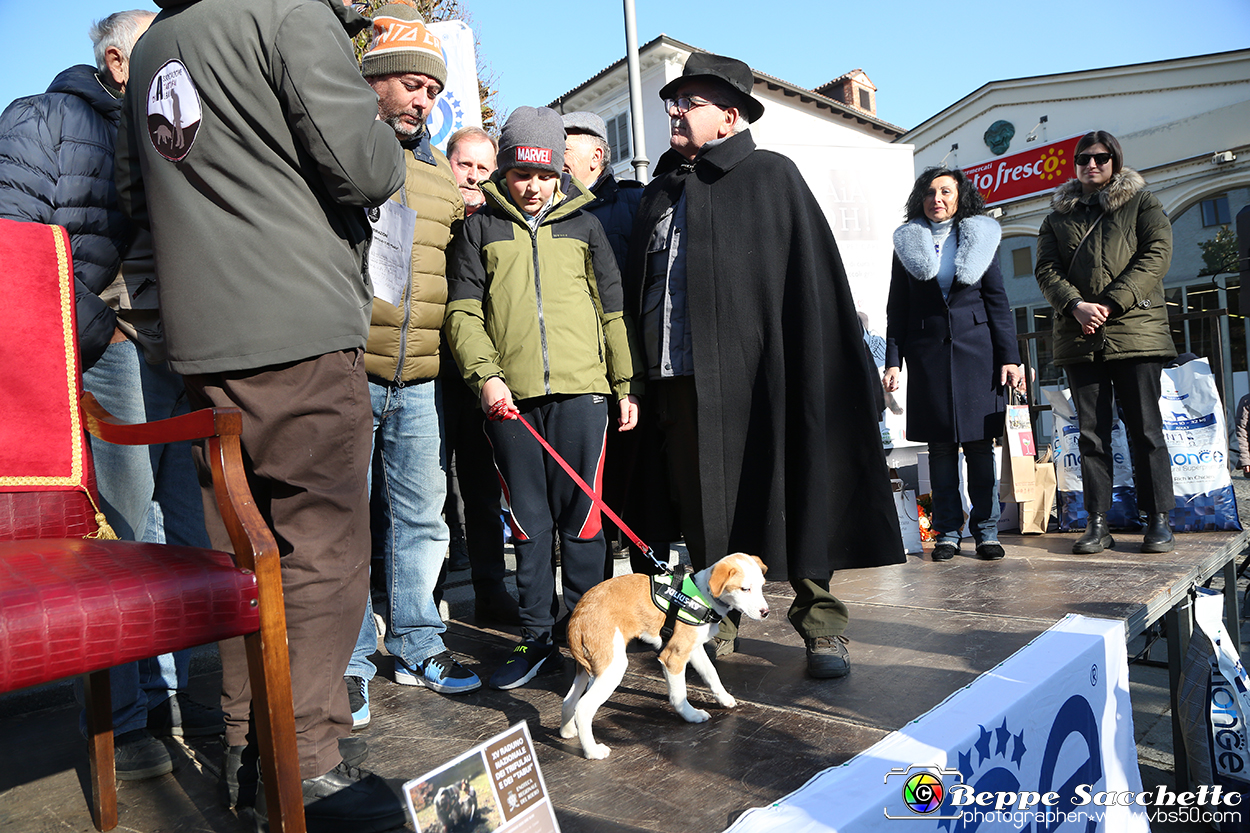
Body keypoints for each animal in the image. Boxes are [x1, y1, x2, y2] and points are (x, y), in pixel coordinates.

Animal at [560, 550, 770, 760]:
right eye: (745, 589)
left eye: (761, 586)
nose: (766, 613)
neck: (704, 596)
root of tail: (576, 618)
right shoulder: (673, 657)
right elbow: (679, 695)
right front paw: (691, 715)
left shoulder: (693, 649)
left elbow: (711, 673)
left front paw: (724, 698)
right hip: (613, 667)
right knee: (583, 708)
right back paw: (592, 751)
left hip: (588, 669)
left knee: (569, 701)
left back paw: (567, 731)